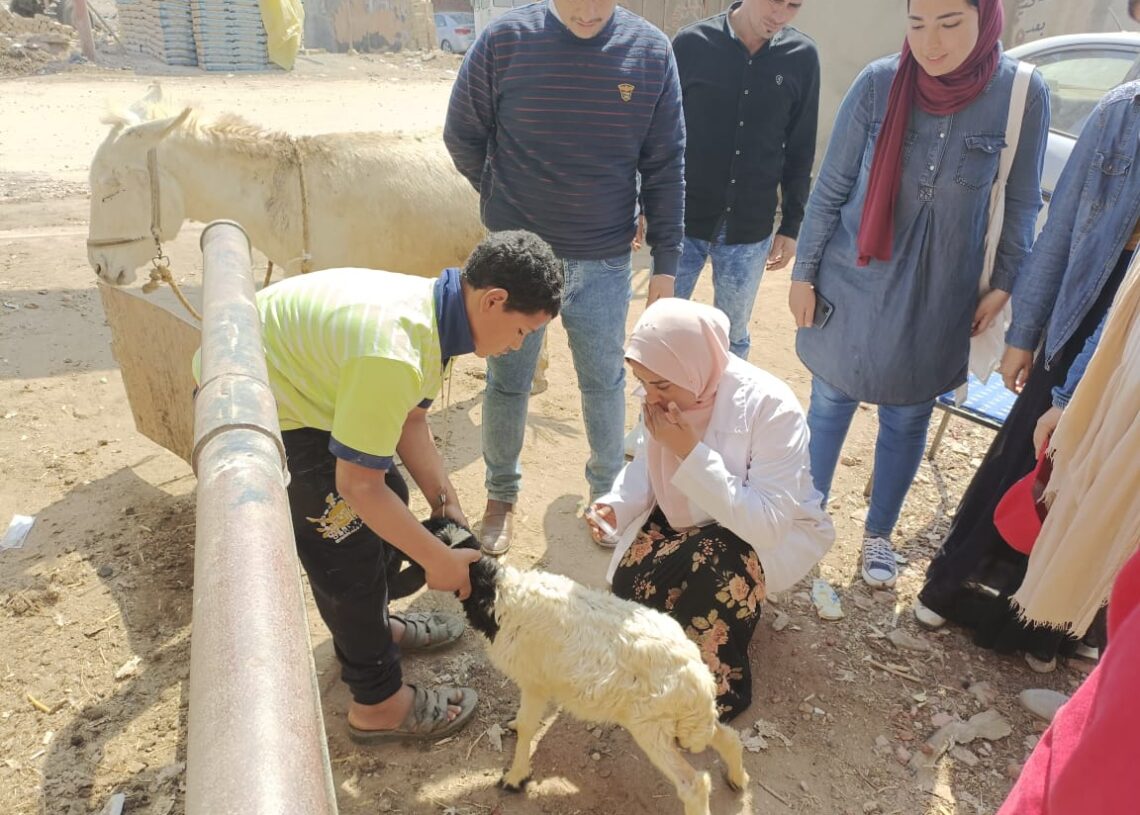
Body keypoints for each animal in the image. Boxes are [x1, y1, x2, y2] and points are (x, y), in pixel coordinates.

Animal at [424, 522, 752, 815]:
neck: (497, 594)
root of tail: (699, 677)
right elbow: (524, 722)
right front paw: (515, 730)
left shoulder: (535, 682)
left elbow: (529, 727)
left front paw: (515, 778)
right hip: (679, 722)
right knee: (729, 738)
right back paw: (739, 778)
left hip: (652, 726)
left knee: (694, 784)